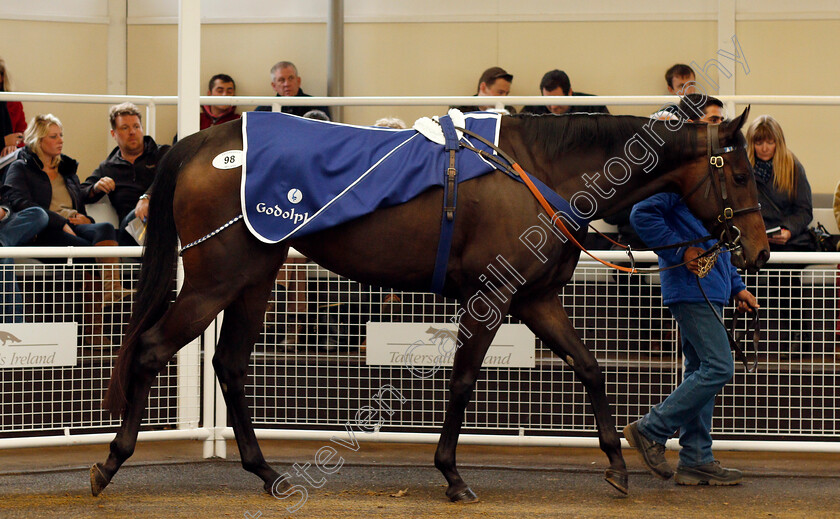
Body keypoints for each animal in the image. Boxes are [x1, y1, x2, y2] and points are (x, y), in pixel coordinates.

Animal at [90, 108, 768, 504]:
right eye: (738, 175)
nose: (758, 251)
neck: (536, 172)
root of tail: (204, 141)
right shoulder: (492, 295)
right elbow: (463, 381)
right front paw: (452, 474)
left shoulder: (537, 299)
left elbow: (591, 368)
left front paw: (620, 465)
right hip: (215, 279)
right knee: (150, 350)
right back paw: (111, 463)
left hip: (253, 276)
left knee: (230, 365)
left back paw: (267, 473)